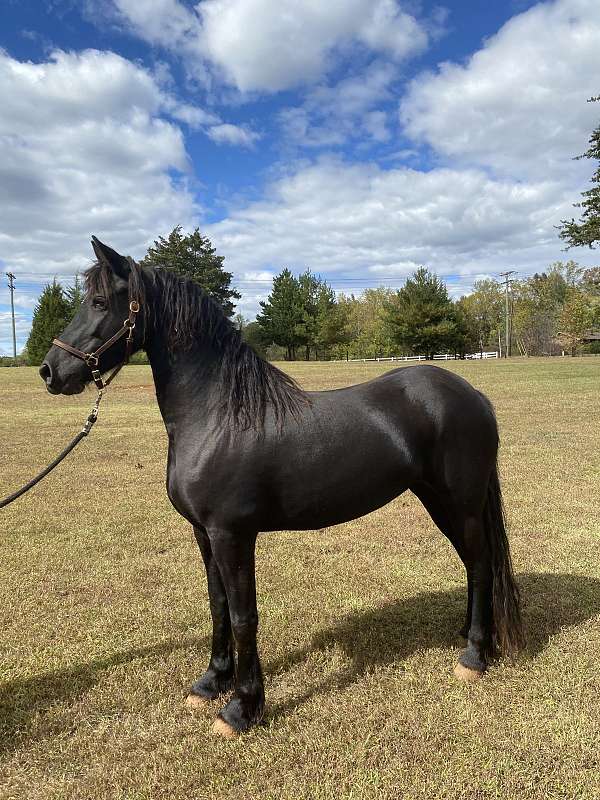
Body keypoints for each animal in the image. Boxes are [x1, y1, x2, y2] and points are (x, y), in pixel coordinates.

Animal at [39, 238, 524, 736]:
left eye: (100, 302)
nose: (50, 371)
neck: (218, 415)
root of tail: (472, 395)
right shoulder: (203, 533)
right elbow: (217, 606)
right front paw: (211, 682)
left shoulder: (233, 535)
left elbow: (243, 615)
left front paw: (241, 707)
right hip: (439, 501)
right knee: (473, 564)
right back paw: (469, 636)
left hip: (461, 503)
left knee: (481, 565)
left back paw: (474, 656)